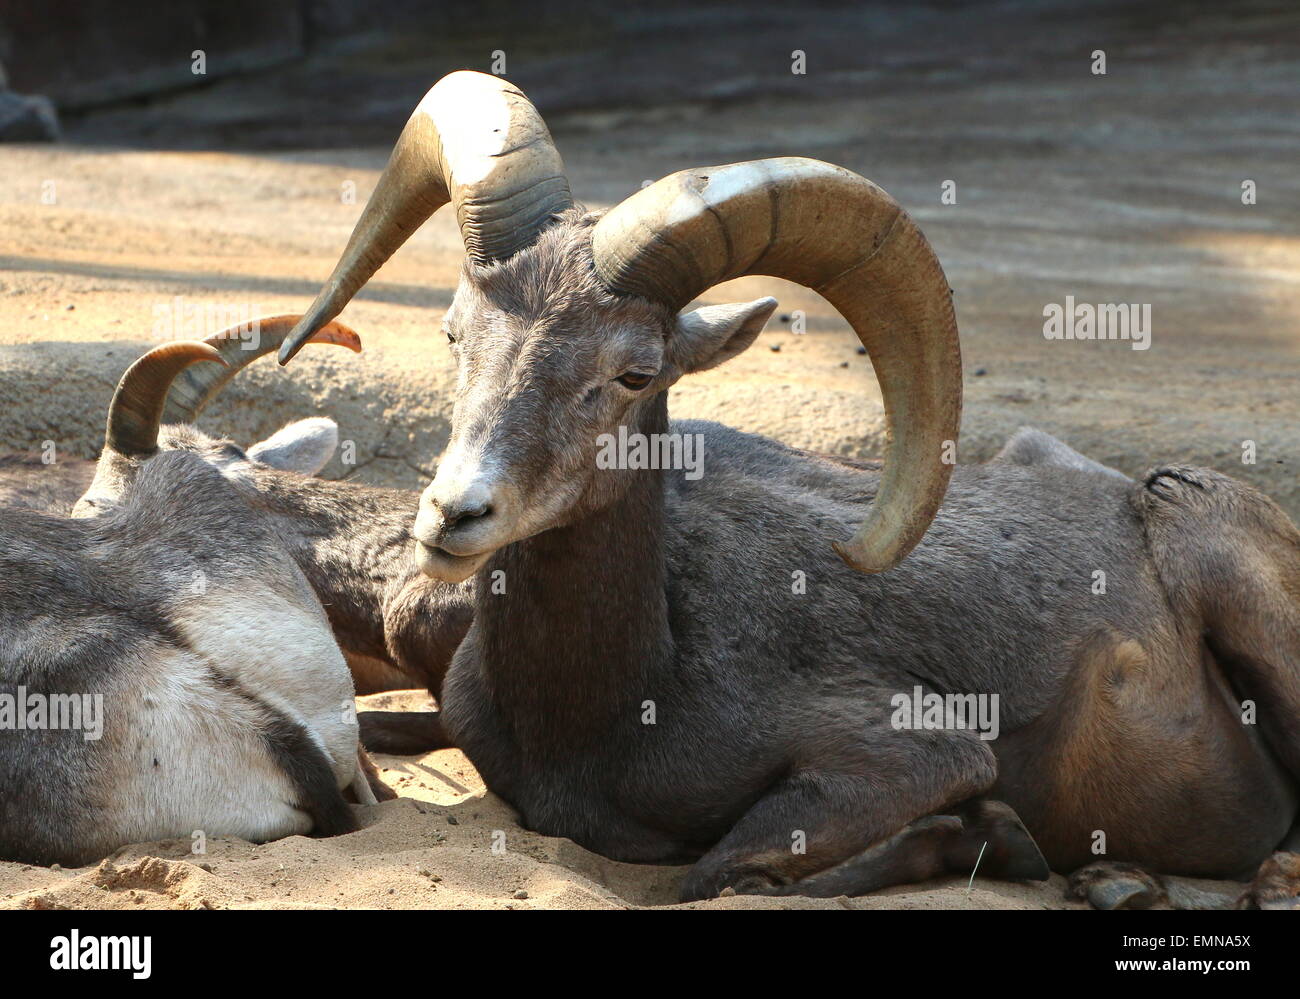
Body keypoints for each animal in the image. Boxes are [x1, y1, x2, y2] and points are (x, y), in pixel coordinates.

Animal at [276, 74, 1300, 910]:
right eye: (454, 332)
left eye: (636, 372)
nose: (455, 513)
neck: (613, 703)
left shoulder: (910, 755)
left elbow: (720, 873)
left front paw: (990, 838)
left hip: (1212, 543)